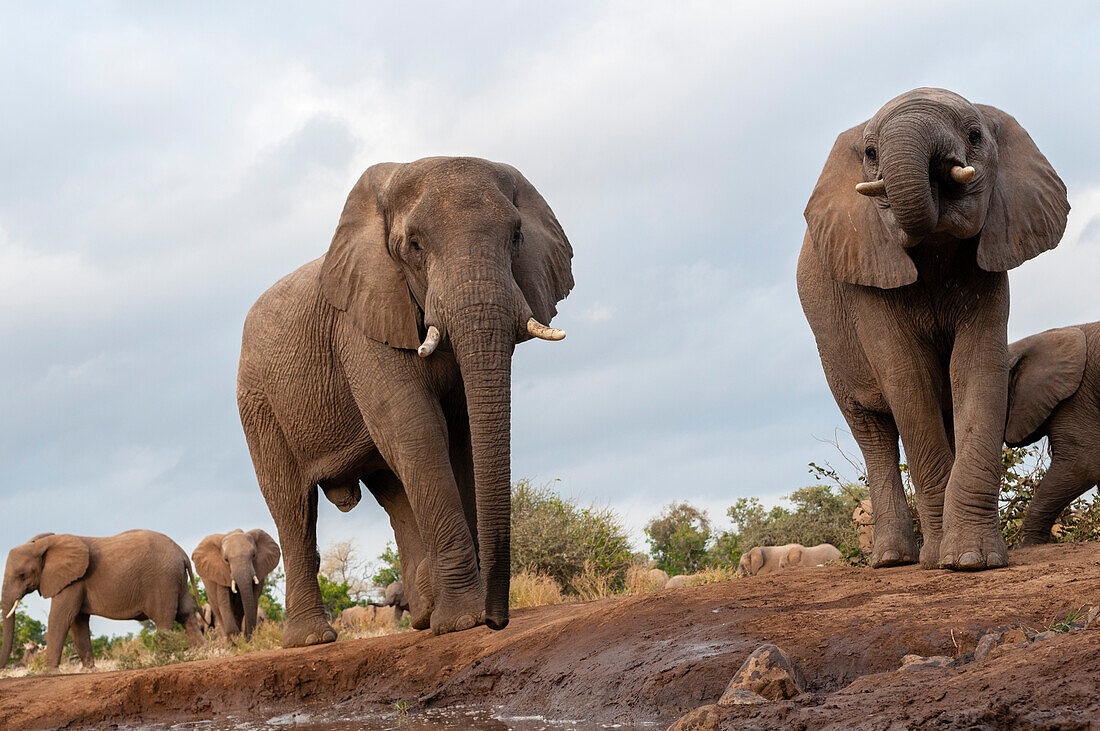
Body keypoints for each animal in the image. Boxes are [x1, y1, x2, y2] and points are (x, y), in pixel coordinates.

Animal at [1, 529, 203, 668]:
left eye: (22, 575)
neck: (43, 545)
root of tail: (182, 553)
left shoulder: (73, 581)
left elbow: (61, 617)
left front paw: (49, 672)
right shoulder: (74, 581)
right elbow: (77, 622)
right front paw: (89, 669)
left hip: (162, 580)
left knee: (164, 619)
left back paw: (162, 659)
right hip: (177, 580)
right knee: (186, 615)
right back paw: (202, 652)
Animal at [235, 154, 572, 646]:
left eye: (516, 236)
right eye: (414, 245)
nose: (498, 620)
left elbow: (461, 440)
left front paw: (457, 619)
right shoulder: (361, 327)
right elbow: (417, 430)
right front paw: (462, 622)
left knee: (392, 488)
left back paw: (423, 616)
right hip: (258, 401)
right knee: (293, 505)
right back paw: (312, 640)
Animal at [796, 86, 1069, 571]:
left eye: (975, 135)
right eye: (870, 153)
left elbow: (976, 369)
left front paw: (973, 561)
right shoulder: (870, 269)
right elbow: (908, 377)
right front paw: (943, 559)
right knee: (873, 432)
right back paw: (891, 560)